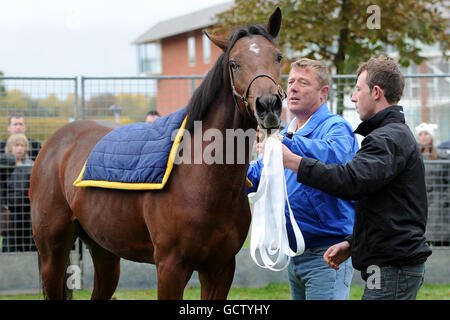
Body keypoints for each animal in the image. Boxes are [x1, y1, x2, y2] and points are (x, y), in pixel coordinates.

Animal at [29, 7, 284, 300]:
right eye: (234, 63)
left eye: (278, 56)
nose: (268, 105)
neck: (202, 178)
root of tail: (54, 143)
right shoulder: (170, 267)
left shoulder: (220, 268)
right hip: (52, 252)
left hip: (105, 251)